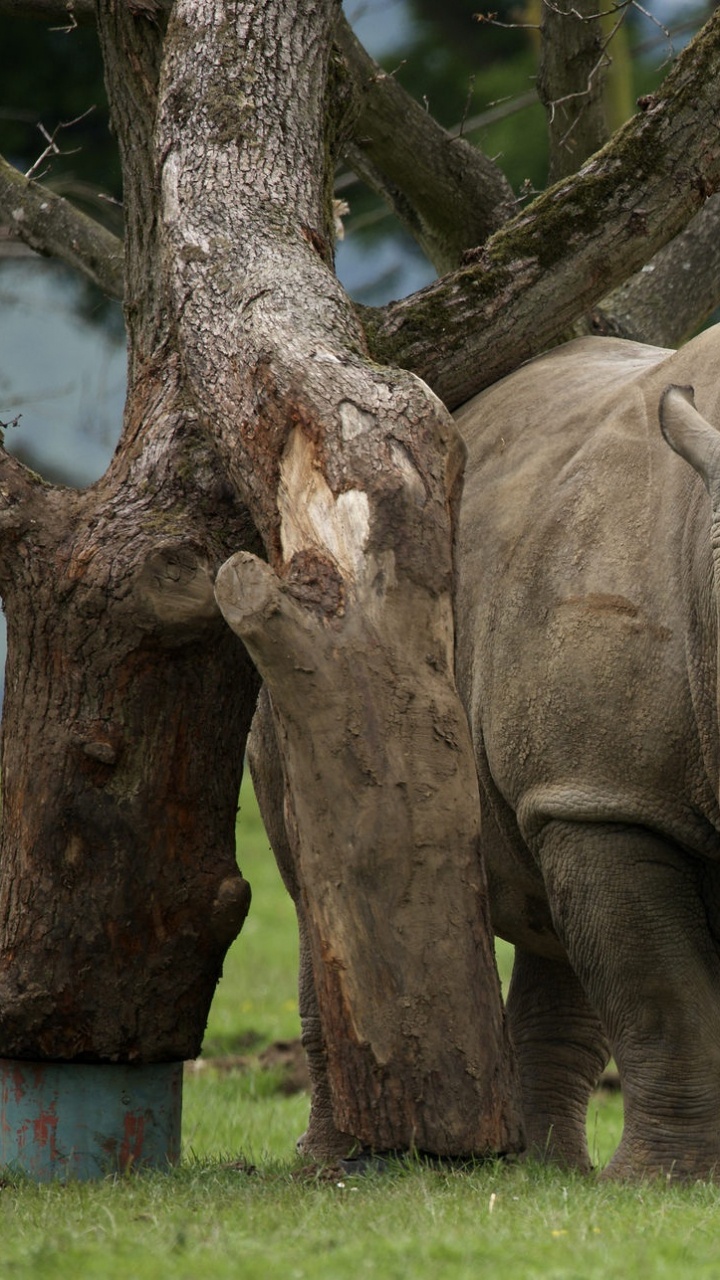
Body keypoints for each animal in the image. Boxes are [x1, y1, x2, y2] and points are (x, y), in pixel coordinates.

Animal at [249, 322, 720, 1179]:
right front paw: (662, 1184)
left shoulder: (593, 782)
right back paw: (336, 1169)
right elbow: (667, 1000)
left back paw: (545, 1173)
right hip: (298, 648)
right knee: (316, 893)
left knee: (556, 922)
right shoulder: (609, 791)